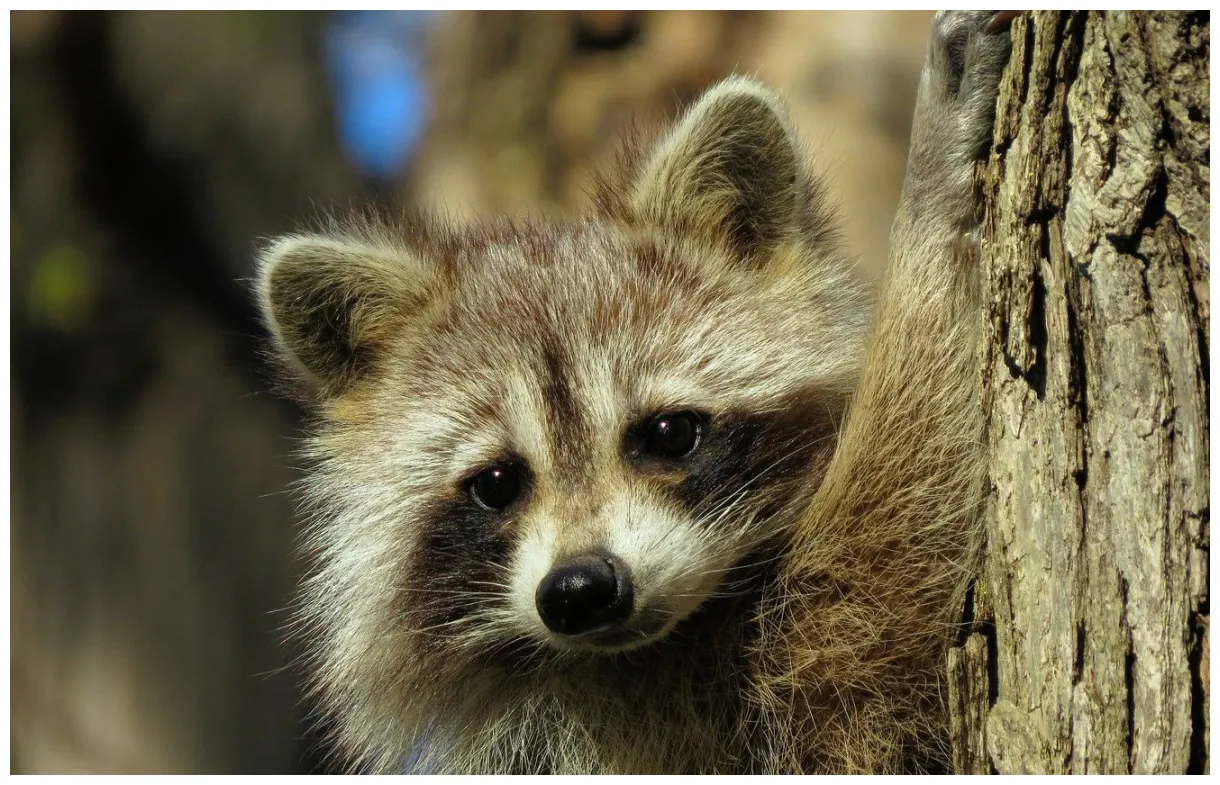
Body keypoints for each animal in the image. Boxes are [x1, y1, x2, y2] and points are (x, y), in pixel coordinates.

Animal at [257, 10, 1017, 774]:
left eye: (669, 433)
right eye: (497, 483)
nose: (580, 590)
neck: (672, 638)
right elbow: (887, 588)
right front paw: (927, 214)